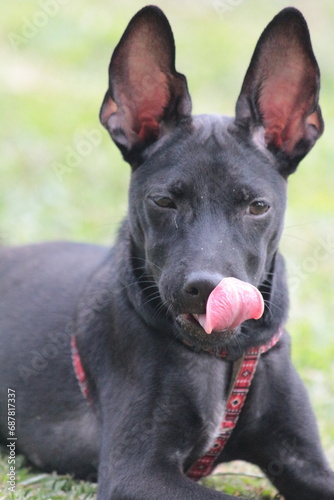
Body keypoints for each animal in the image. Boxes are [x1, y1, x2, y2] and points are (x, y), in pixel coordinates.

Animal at [0, 6, 334, 500]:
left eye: (257, 207)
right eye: (163, 201)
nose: (206, 289)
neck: (223, 358)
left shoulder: (301, 459)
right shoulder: (137, 470)